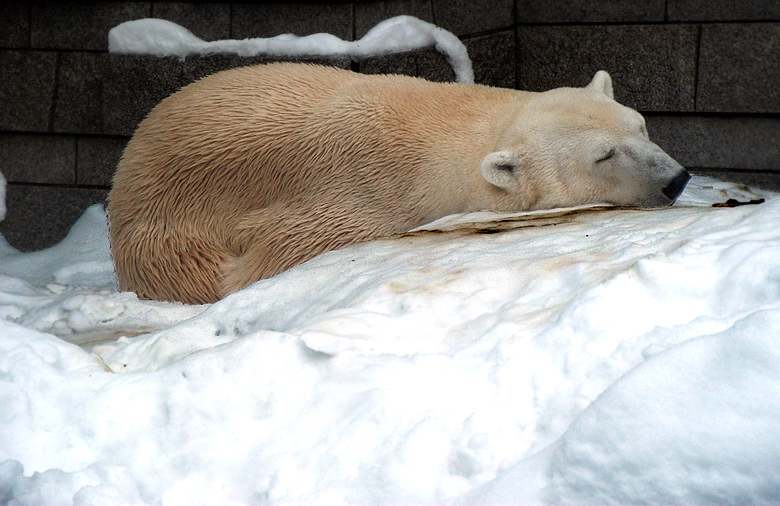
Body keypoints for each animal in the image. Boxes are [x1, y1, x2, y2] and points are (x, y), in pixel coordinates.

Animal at [108, 62, 688, 304]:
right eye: (604, 155)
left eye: (640, 126)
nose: (677, 180)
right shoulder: (353, 191)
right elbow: (270, 254)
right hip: (160, 231)